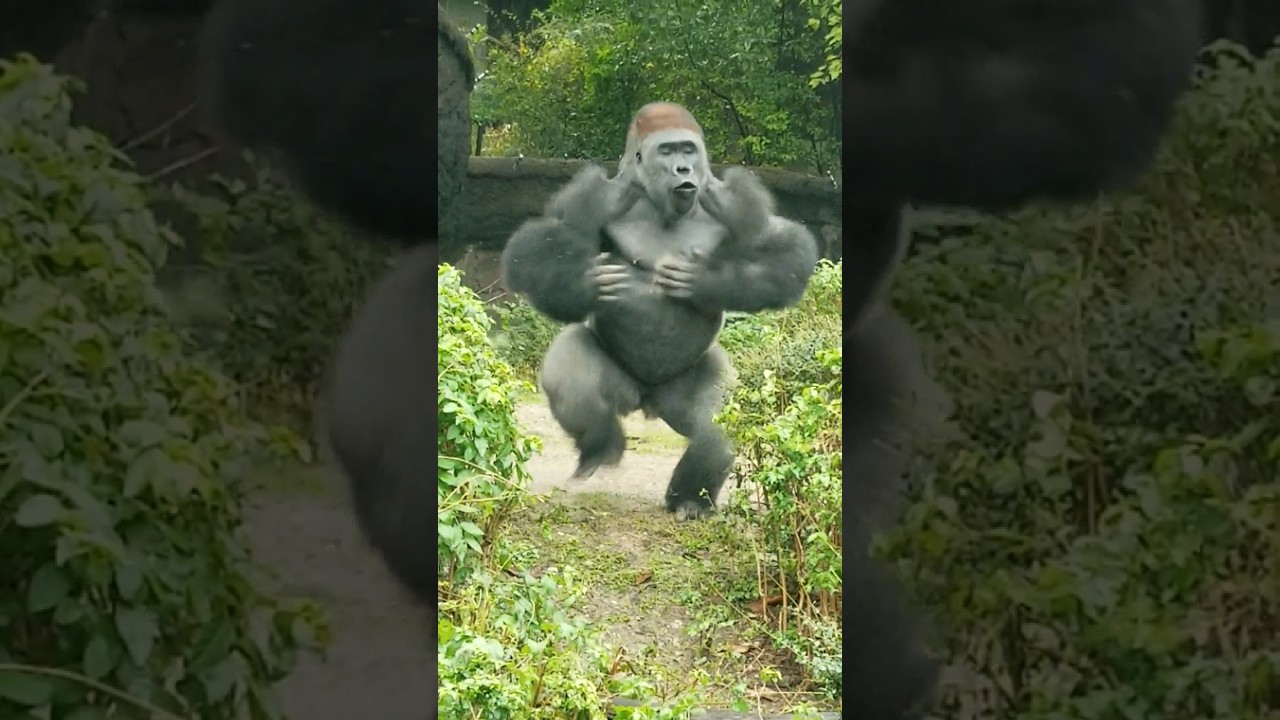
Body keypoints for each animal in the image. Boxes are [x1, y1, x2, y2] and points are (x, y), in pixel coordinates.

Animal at [502, 102, 820, 520]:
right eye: (667, 152)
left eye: (688, 151)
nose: (683, 170)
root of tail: (645, 401)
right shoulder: (596, 195)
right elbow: (546, 241)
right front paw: (586, 283)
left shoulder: (734, 200)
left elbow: (777, 247)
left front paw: (706, 280)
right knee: (573, 374)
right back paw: (599, 448)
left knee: (718, 425)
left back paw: (690, 498)